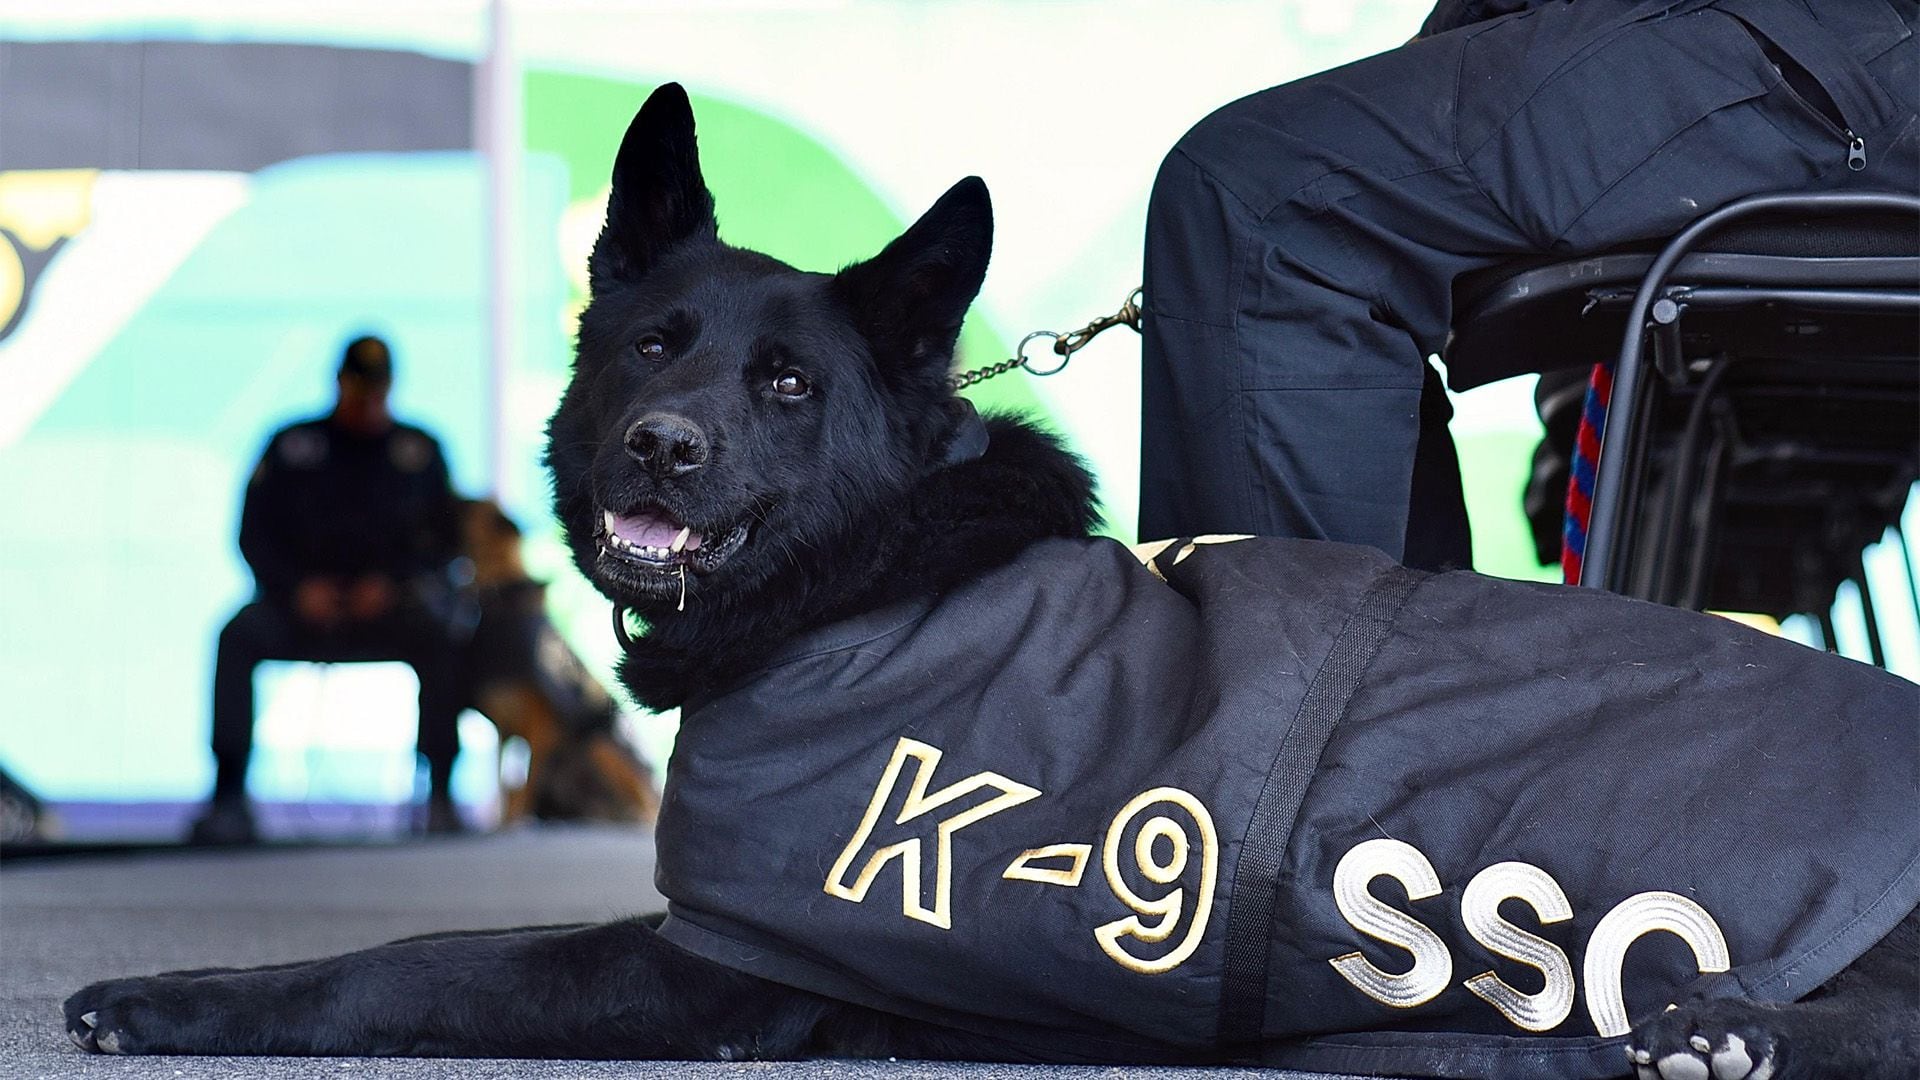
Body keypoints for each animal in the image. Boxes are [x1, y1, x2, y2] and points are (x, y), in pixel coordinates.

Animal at [456, 499, 660, 818]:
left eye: (471, 506)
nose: (451, 500)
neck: (502, 593)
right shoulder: (504, 729)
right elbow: (505, 788)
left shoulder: (543, 728)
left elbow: (524, 786)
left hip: (600, 741)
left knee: (645, 804)